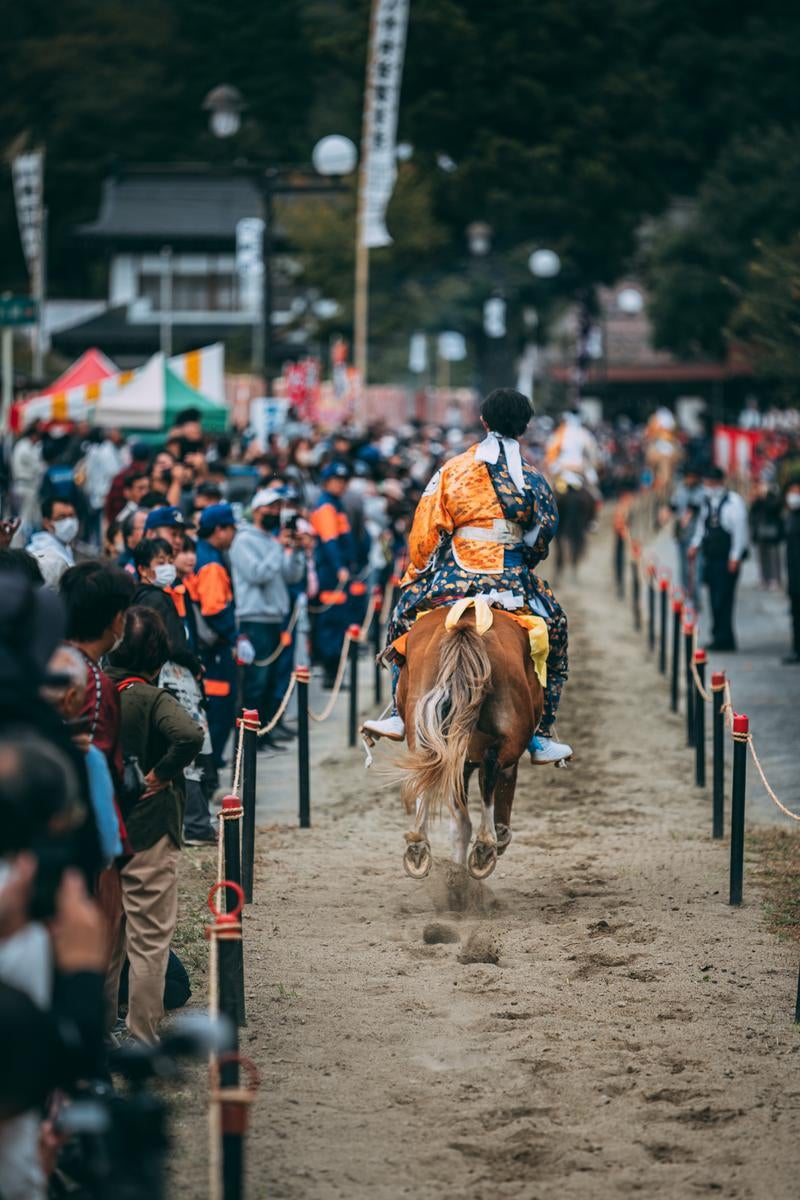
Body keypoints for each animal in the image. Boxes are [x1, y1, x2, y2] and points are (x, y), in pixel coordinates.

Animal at [395, 609, 544, 883]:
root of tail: (465, 627)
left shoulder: (459, 761)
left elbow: (459, 820)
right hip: (507, 739)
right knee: (491, 769)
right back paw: (486, 847)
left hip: (428, 728)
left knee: (427, 766)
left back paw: (418, 848)